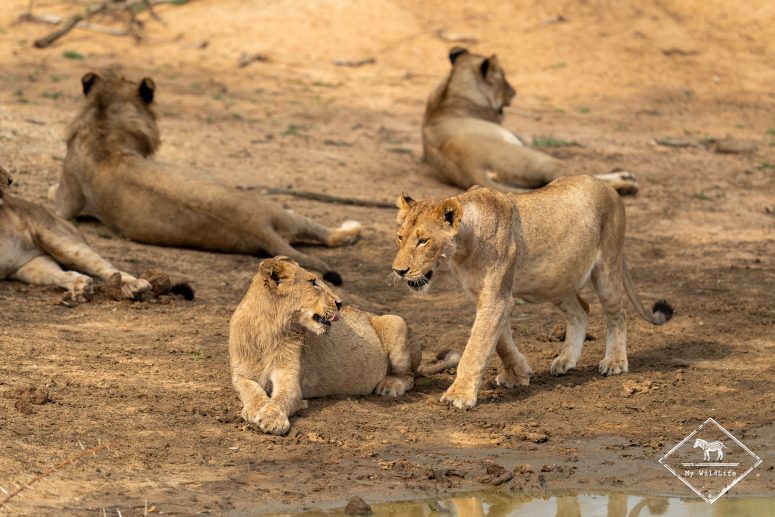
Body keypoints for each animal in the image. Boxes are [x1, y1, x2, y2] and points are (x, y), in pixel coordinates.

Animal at [0, 165, 151, 303]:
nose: (10, 180)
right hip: (30, 265)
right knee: (60, 273)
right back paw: (81, 287)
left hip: (63, 244)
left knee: (108, 268)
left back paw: (135, 286)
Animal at [49, 69, 361, 285]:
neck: (105, 127)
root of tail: (257, 226)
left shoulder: (67, 201)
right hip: (280, 212)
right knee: (329, 236)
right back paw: (353, 229)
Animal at [228, 256, 460, 435]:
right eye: (313, 282)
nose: (340, 303)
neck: (270, 330)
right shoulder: (240, 375)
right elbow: (251, 391)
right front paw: (254, 409)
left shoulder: (290, 378)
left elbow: (281, 398)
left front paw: (271, 418)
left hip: (396, 321)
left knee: (410, 376)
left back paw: (389, 386)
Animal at [392, 175, 673, 409]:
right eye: (400, 237)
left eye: (423, 240)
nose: (399, 270)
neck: (463, 249)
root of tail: (608, 187)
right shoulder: (485, 297)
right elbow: (501, 342)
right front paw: (518, 374)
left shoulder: (496, 298)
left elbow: (477, 347)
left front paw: (459, 395)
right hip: (555, 280)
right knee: (581, 310)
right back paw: (566, 360)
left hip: (606, 268)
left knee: (618, 315)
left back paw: (614, 362)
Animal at [422, 47, 639, 196]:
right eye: (504, 77)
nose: (514, 91)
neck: (449, 96)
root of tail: (472, 169)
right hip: (542, 161)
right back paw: (626, 182)